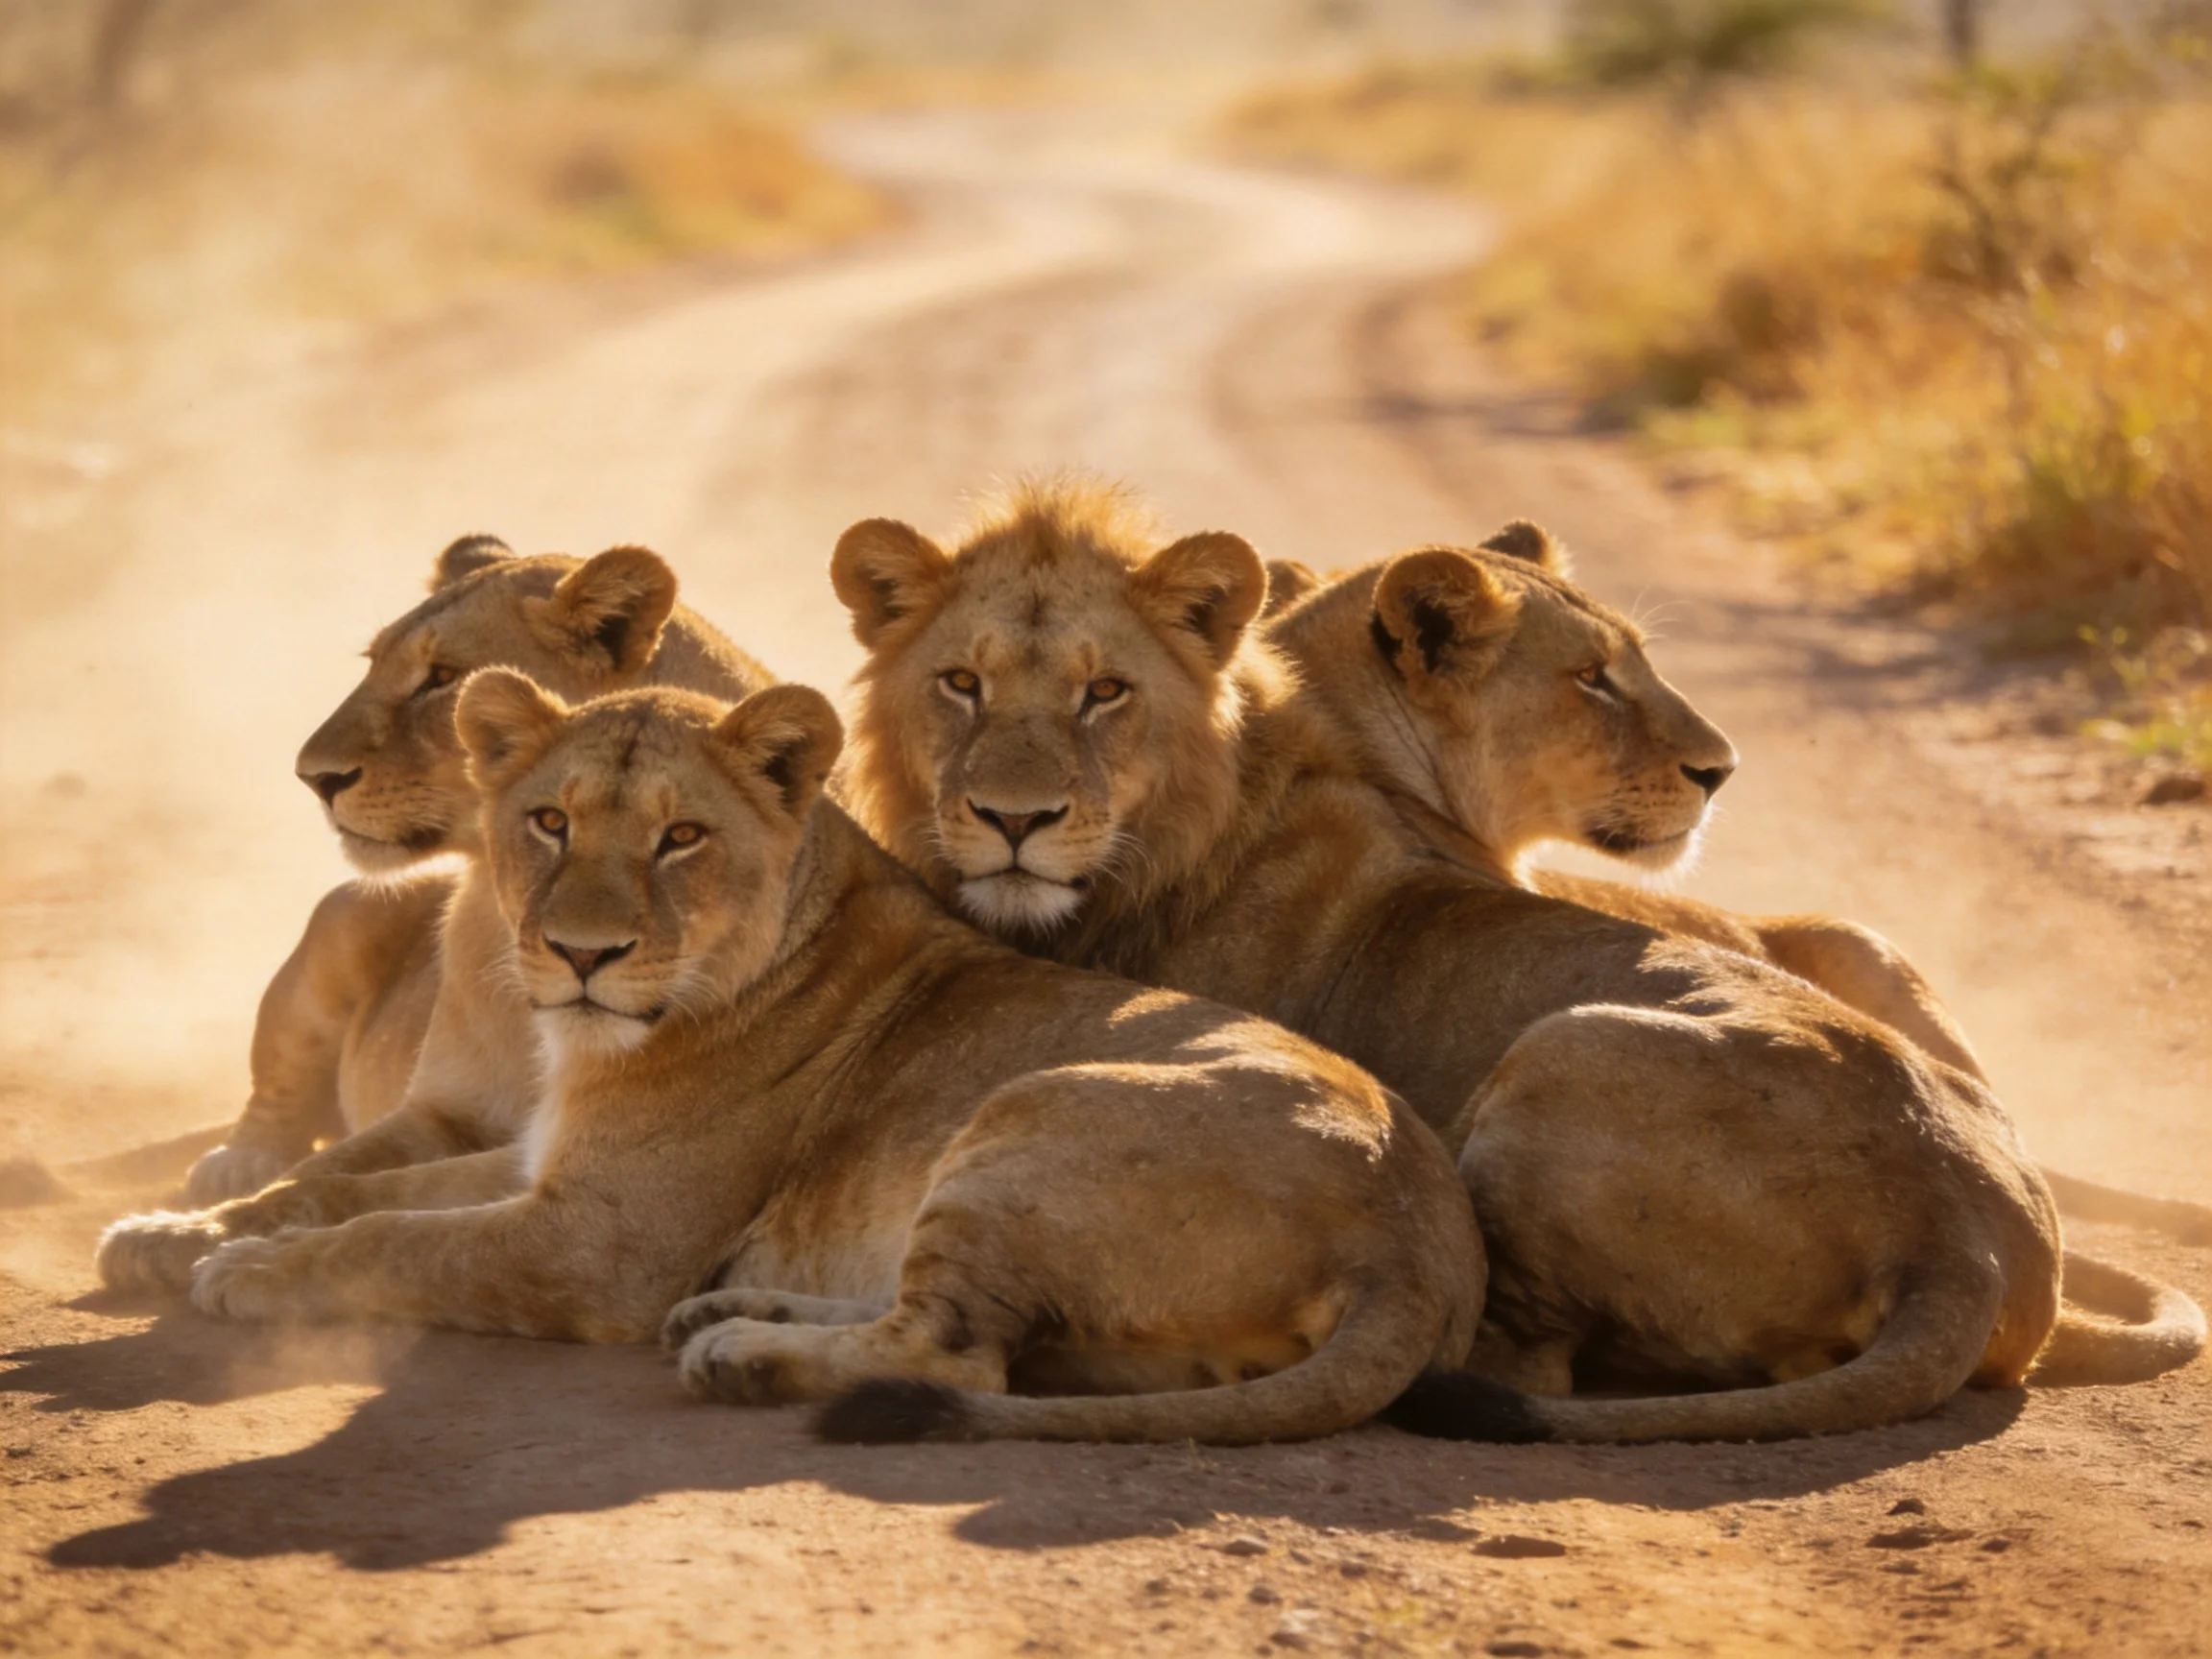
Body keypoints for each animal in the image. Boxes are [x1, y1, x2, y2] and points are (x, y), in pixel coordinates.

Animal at [103, 539, 770, 1282]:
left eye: (442, 677)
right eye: (373, 664)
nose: (312, 776)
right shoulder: (439, 1112)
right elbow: (313, 1176)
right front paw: (180, 1232)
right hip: (339, 924)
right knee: (278, 1100)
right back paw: (235, 1165)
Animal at [176, 674, 1484, 1446]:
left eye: (681, 838)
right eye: (548, 822)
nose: (582, 955)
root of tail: (1416, 1238)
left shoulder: (597, 1244)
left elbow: (396, 1237)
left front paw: (248, 1272)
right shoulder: (545, 1167)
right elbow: (351, 1186)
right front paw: (216, 1228)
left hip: (1029, 1114)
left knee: (952, 1351)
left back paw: (741, 1351)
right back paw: (739, 1305)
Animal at [831, 480, 2204, 1442]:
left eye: (1104, 695)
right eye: (1594, 678)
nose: (1722, 769)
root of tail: (1964, 1234)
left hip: (1559, 1049)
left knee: (1529, 1357)